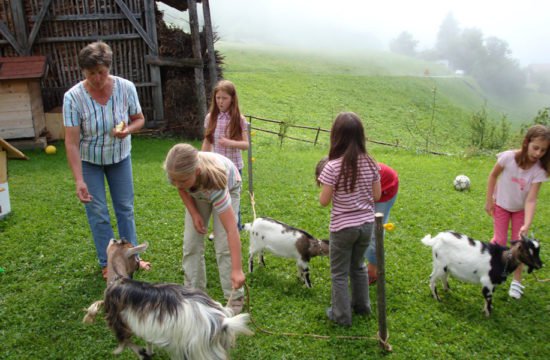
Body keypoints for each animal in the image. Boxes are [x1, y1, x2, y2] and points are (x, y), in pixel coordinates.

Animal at [83, 239, 253, 360]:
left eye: (118, 242)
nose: (138, 265)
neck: (118, 279)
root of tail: (222, 321)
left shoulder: (117, 321)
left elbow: (126, 343)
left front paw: (142, 353)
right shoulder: (146, 323)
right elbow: (147, 339)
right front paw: (149, 352)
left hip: (199, 350)